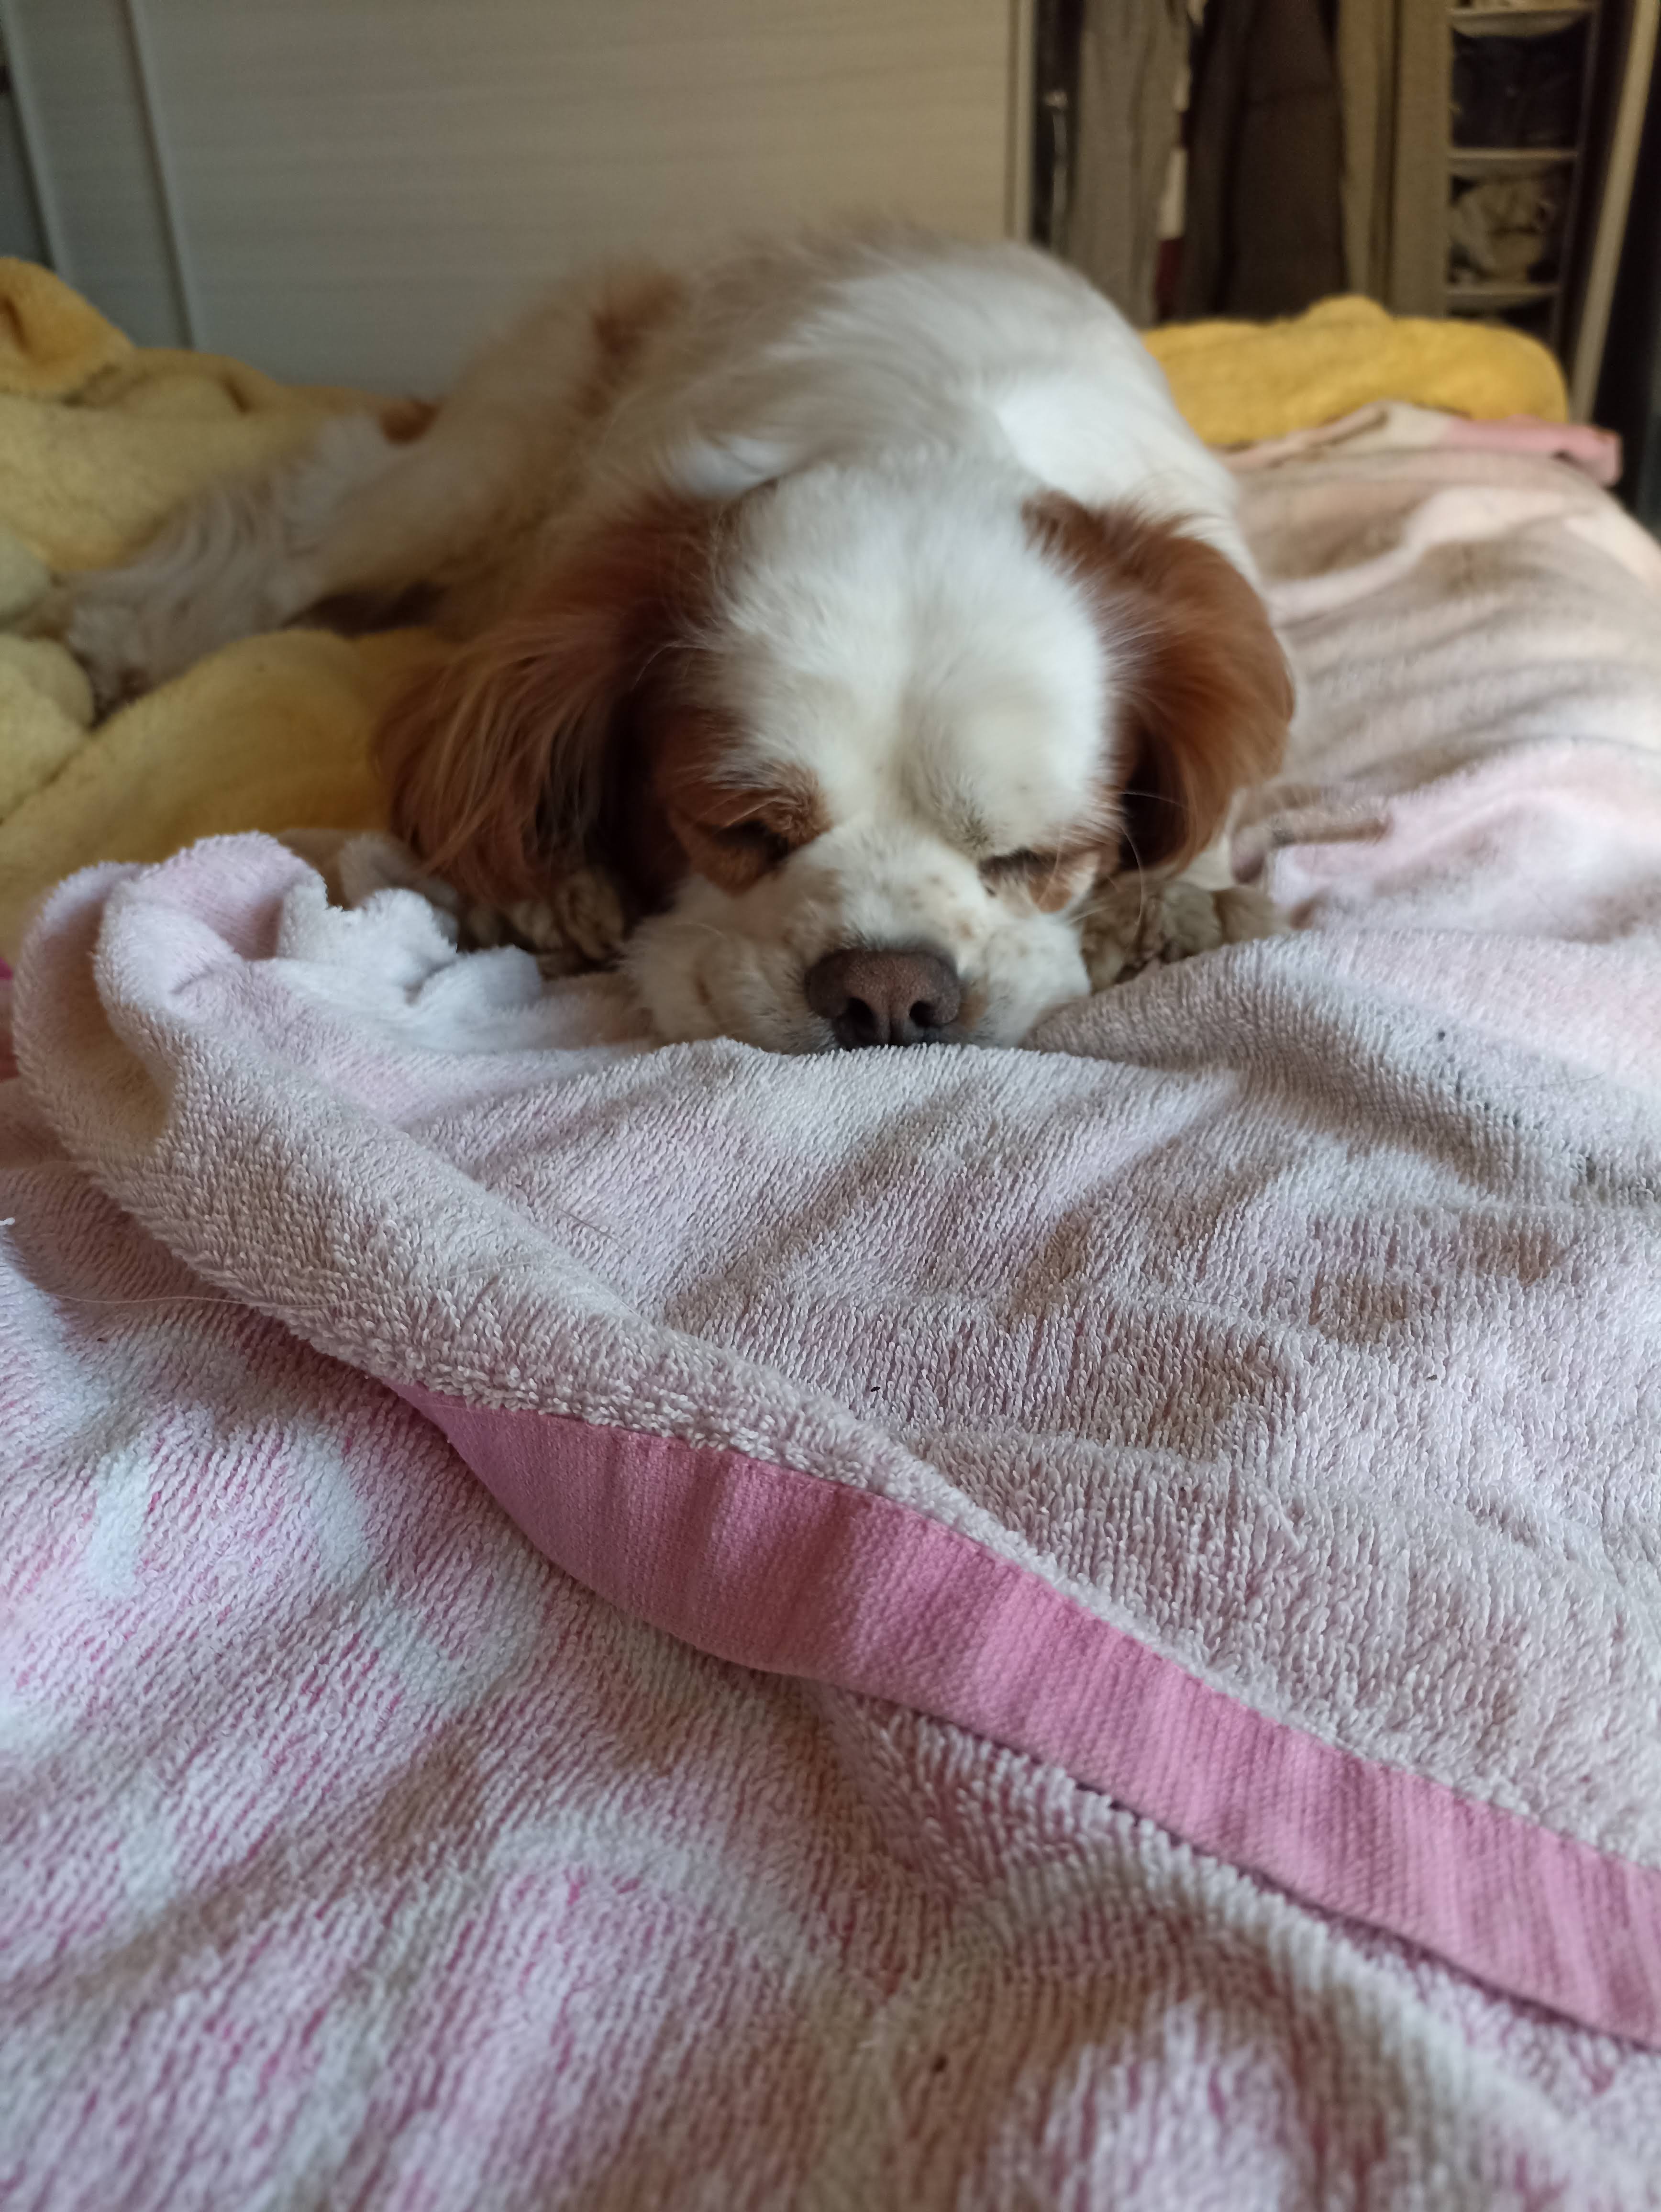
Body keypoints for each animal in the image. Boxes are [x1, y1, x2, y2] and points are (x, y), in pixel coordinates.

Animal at [57, 228, 1293, 1050]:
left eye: (1036, 860)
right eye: (735, 828)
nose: (888, 991)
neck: (923, 434)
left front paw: (1174, 905)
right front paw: (551, 891)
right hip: (479, 467)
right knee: (301, 523)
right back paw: (121, 638)